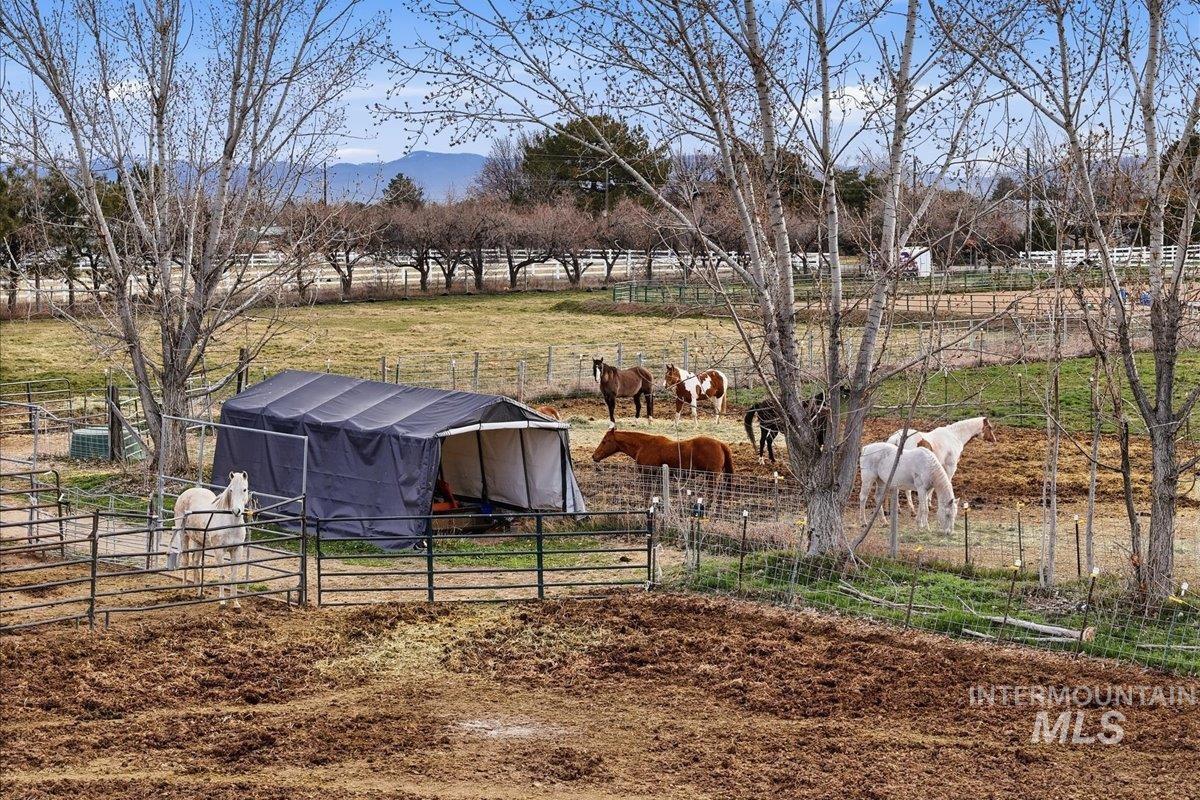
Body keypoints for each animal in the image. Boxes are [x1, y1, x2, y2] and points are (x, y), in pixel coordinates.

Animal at [169, 471, 251, 608]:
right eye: (231, 490)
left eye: (244, 489)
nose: (236, 511)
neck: (229, 524)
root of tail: (186, 493)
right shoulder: (219, 551)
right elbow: (222, 575)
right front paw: (222, 601)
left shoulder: (237, 550)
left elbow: (234, 576)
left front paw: (236, 604)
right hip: (183, 536)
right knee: (185, 561)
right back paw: (184, 592)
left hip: (199, 541)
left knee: (195, 561)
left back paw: (199, 593)